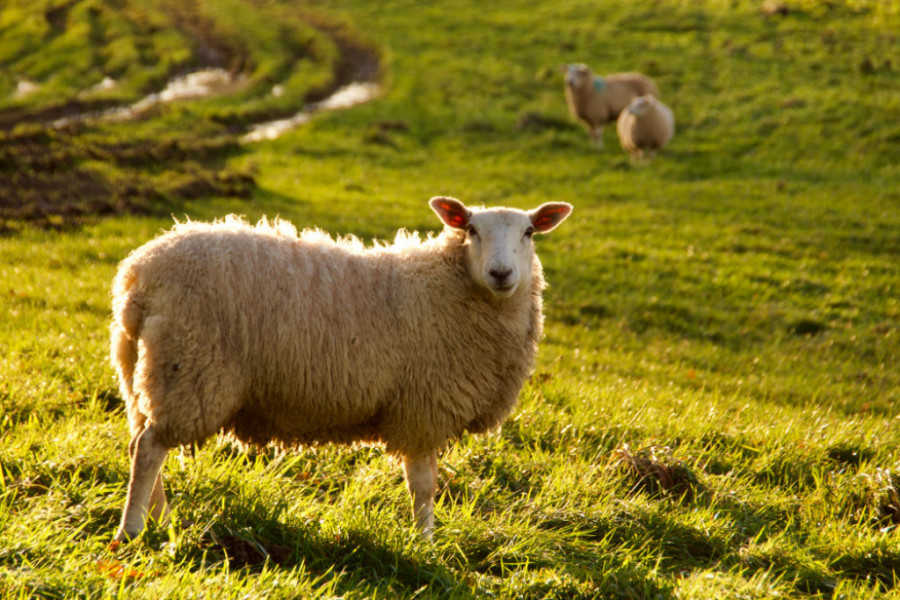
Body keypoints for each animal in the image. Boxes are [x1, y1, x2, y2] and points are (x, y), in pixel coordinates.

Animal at [110, 196, 568, 540]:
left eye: (529, 232)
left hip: (143, 372)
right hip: (189, 369)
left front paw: (425, 539)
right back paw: (132, 531)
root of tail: (138, 275)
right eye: (471, 229)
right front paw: (426, 543)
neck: (449, 286)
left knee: (139, 442)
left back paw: (161, 521)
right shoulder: (422, 408)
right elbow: (423, 485)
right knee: (150, 448)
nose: (501, 273)